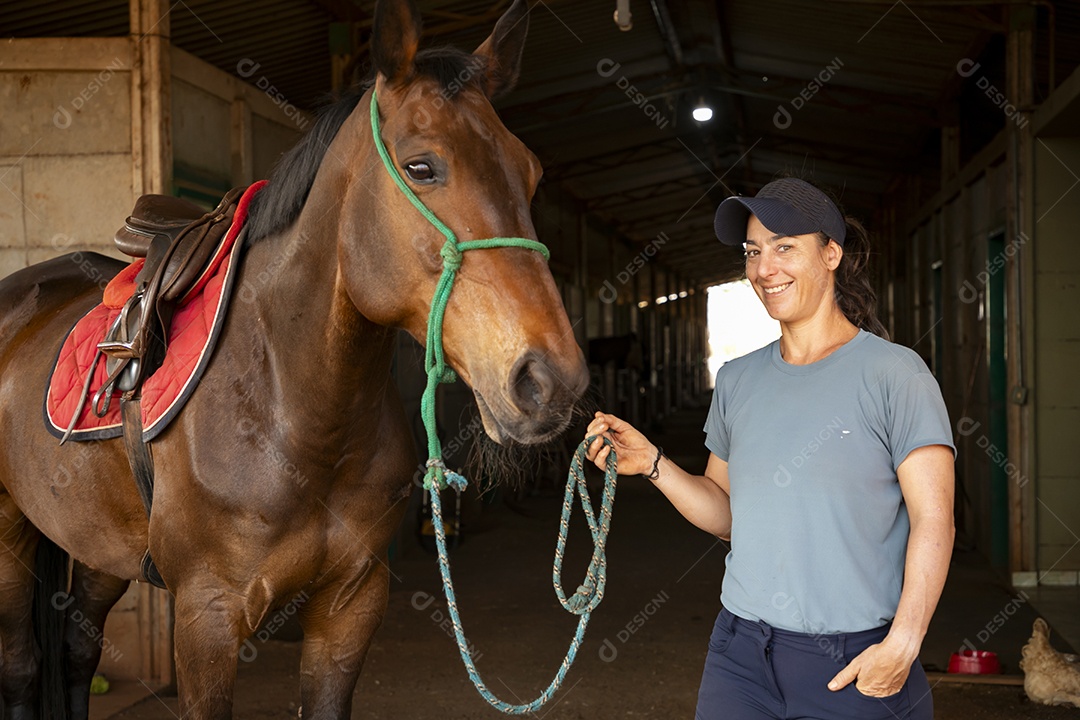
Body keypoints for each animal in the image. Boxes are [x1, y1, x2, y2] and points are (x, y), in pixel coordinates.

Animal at [0, 0, 589, 716]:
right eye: (422, 167)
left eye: (529, 172)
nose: (550, 379)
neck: (293, 405)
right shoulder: (206, 618)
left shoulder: (350, 606)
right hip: (9, 536)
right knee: (24, 666)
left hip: (98, 544)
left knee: (76, 654)